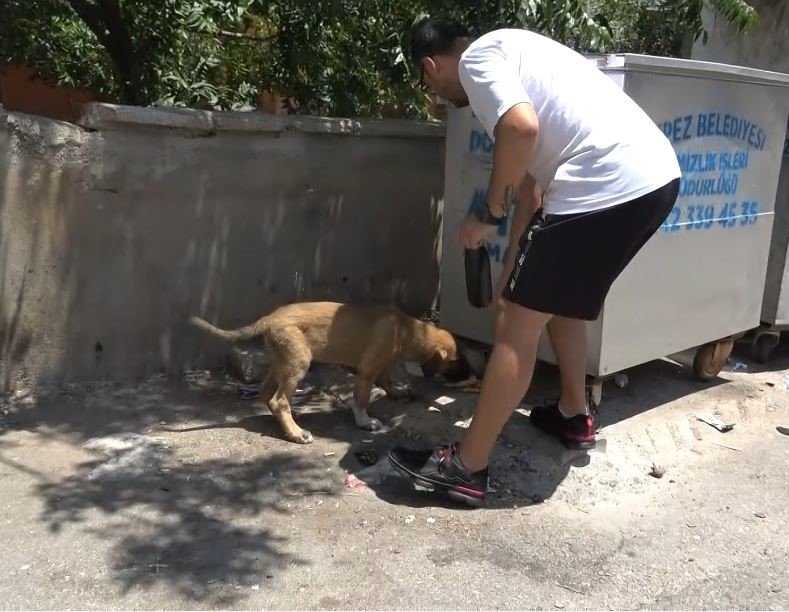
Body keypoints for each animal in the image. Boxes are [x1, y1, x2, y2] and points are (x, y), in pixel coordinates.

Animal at [189, 302, 468, 444]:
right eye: (454, 361)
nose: (469, 374)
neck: (406, 330)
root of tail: (267, 319)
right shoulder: (367, 370)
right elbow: (361, 399)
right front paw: (365, 422)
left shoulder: (380, 364)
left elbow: (387, 379)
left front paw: (398, 391)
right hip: (299, 362)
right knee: (279, 400)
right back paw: (296, 433)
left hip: (282, 361)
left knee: (267, 393)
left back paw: (285, 424)